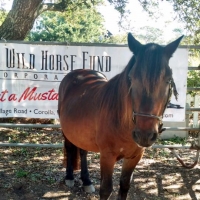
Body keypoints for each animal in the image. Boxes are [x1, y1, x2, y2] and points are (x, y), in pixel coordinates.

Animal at [57, 33, 183, 200]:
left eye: (168, 80)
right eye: (132, 79)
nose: (144, 135)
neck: (123, 124)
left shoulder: (134, 157)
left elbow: (124, 186)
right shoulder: (107, 156)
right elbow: (106, 189)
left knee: (83, 151)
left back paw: (87, 181)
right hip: (66, 130)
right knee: (70, 148)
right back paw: (70, 177)